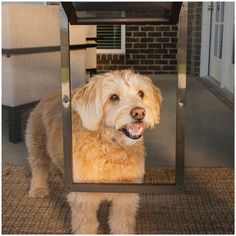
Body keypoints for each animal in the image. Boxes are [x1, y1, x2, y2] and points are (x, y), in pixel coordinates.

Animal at [25, 69, 162, 233]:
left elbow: (122, 222)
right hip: (37, 144)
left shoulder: (126, 195)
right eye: (113, 97)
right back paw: (38, 188)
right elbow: (86, 225)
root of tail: (52, 93)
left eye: (141, 93)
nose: (139, 113)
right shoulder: (84, 197)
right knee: (38, 166)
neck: (111, 148)